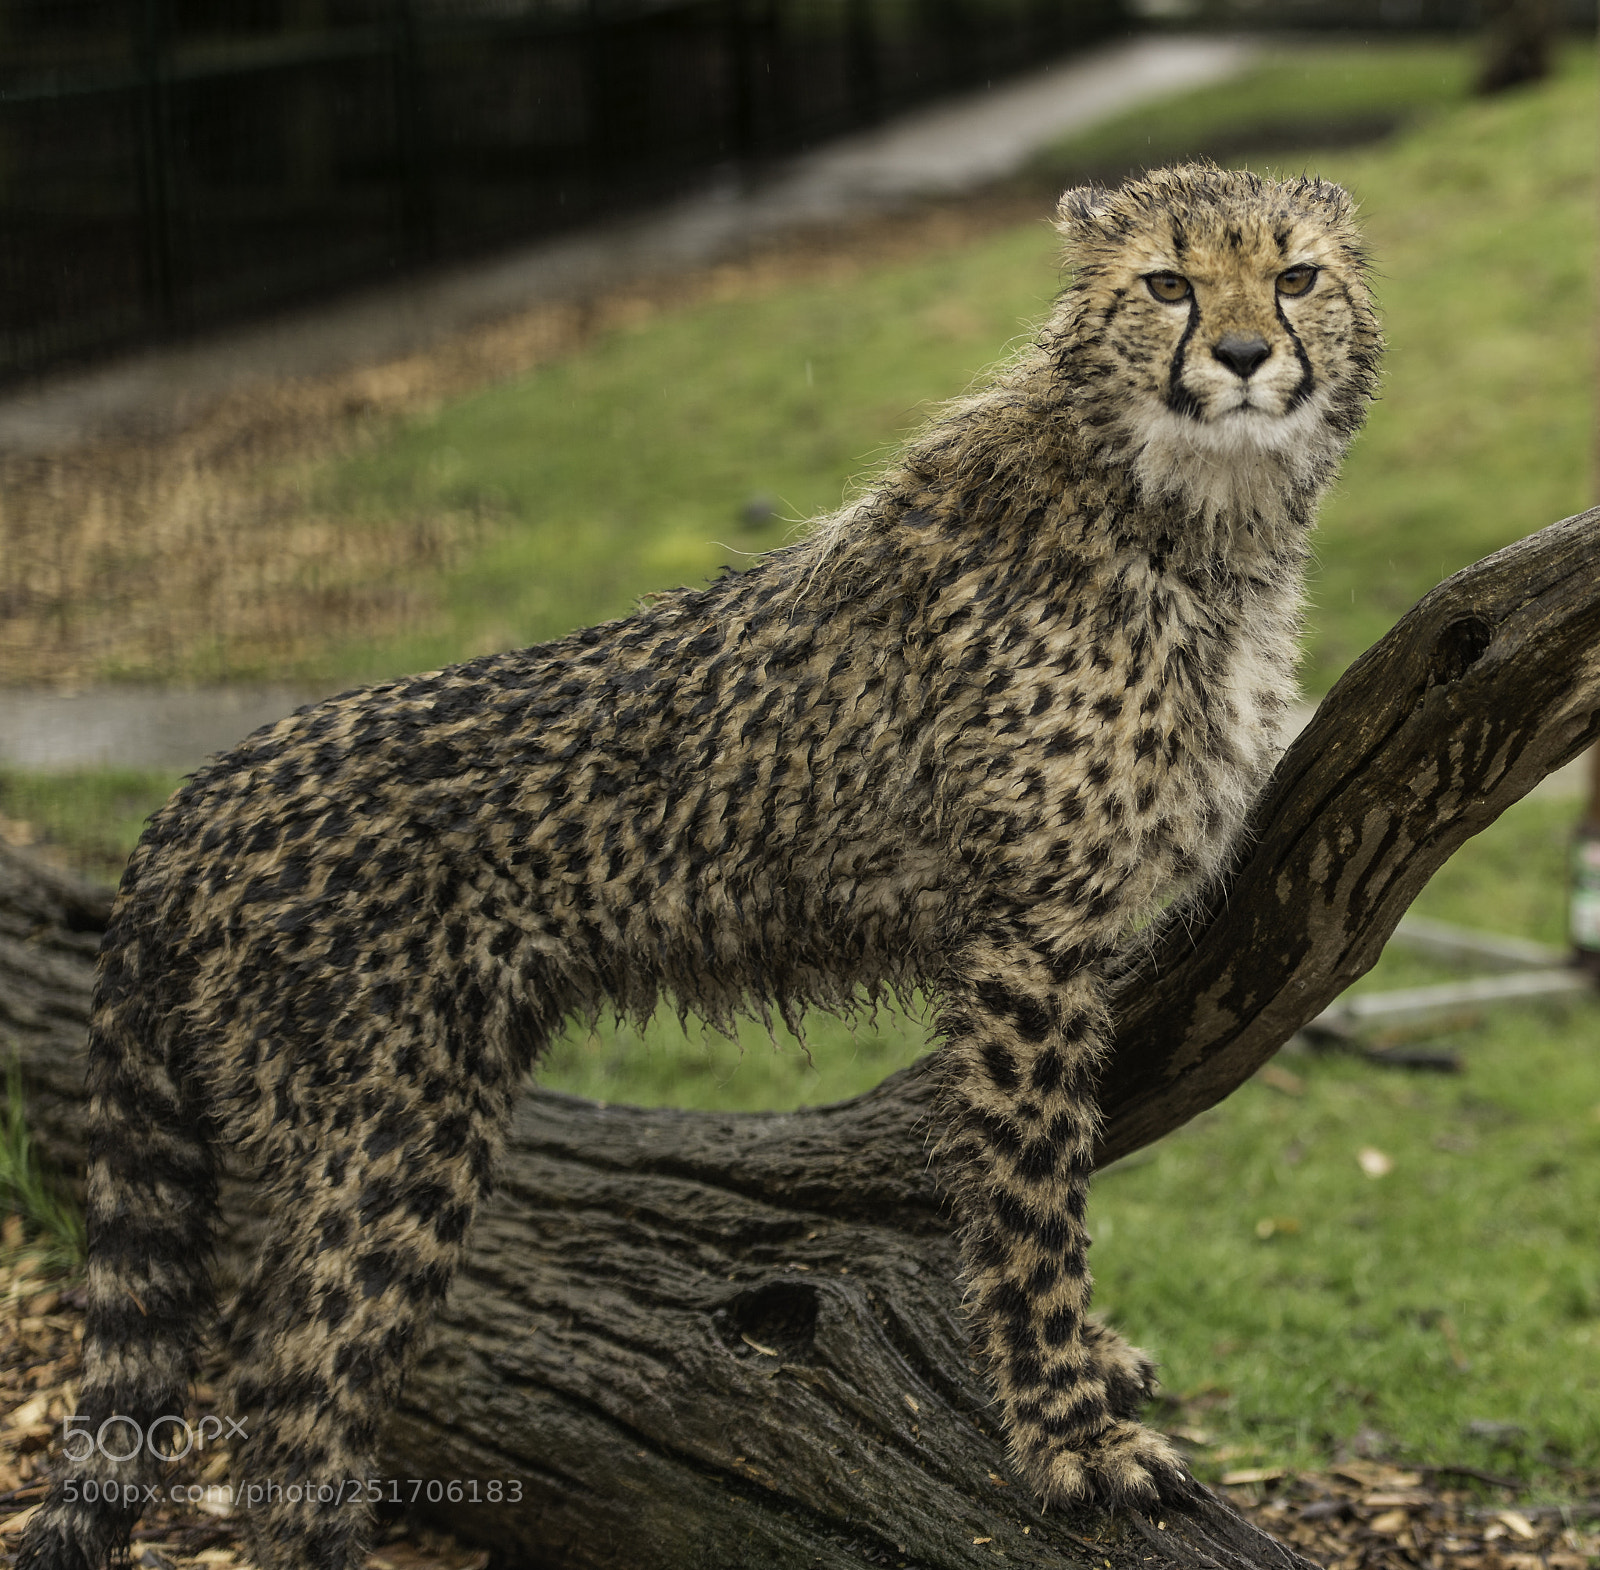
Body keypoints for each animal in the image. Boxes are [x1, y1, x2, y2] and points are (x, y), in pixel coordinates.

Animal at [20, 161, 1381, 1570]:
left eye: (1294, 276)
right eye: (1166, 282)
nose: (1242, 354)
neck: (1187, 512)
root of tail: (200, 792)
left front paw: (1091, 1377)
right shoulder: (1028, 940)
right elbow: (1029, 1201)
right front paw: (1071, 1439)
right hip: (393, 1121)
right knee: (293, 1392)